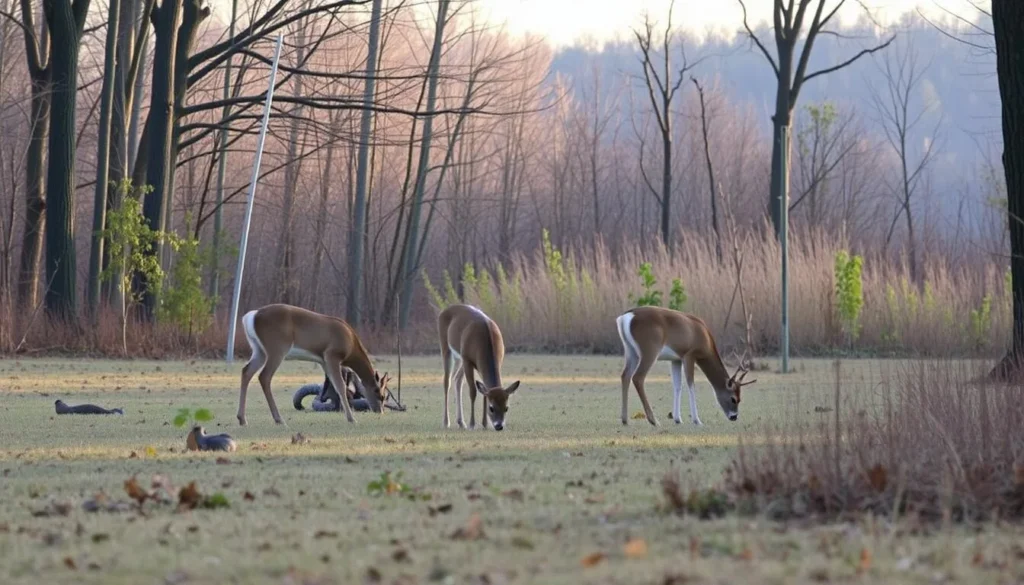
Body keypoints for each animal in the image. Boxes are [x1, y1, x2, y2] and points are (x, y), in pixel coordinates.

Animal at [238, 303, 386, 426]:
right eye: (378, 392)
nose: (379, 411)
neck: (351, 345)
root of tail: (252, 316)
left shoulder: (323, 361)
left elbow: (334, 385)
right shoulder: (332, 355)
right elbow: (341, 386)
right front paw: (351, 419)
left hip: (259, 350)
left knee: (246, 371)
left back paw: (242, 419)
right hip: (277, 348)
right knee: (264, 376)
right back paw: (279, 419)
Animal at [615, 306, 756, 427]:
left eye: (740, 399)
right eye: (733, 399)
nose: (734, 417)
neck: (704, 336)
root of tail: (625, 317)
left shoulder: (676, 359)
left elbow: (677, 385)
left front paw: (678, 419)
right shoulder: (689, 355)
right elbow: (690, 384)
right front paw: (697, 420)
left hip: (631, 352)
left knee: (625, 376)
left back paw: (625, 419)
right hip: (650, 351)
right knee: (638, 377)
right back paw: (654, 420)